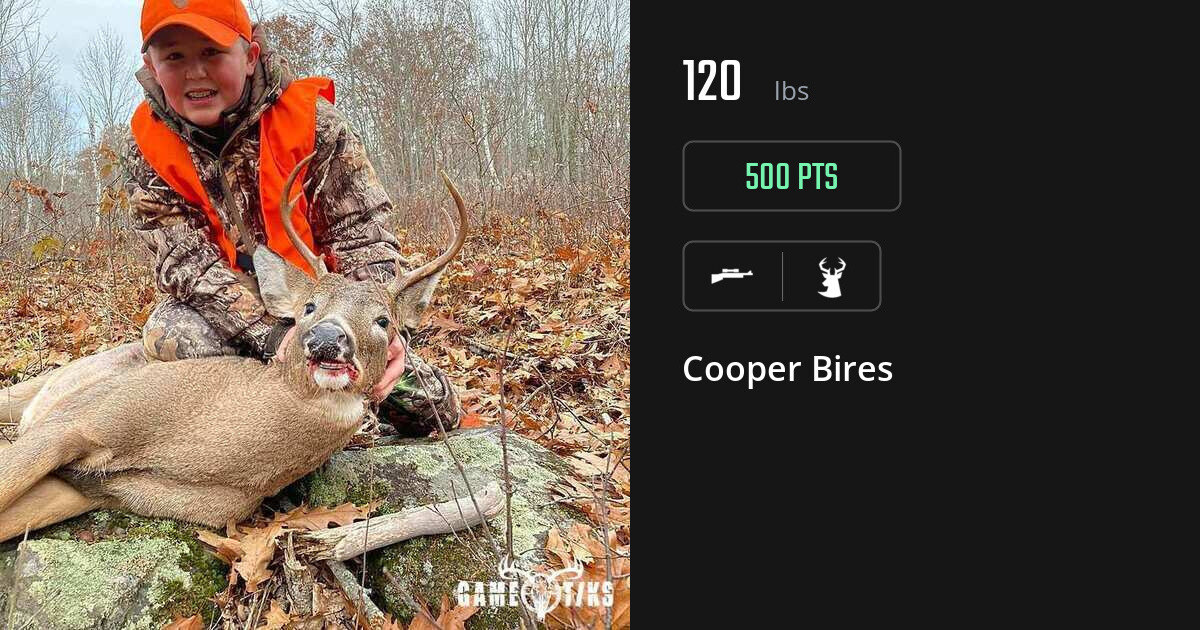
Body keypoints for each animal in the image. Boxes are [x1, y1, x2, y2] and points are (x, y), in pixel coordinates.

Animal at [0, 155, 490, 545]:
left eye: (383, 321)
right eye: (309, 306)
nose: (328, 338)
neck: (190, 447)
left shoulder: (91, 490)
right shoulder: (76, 420)